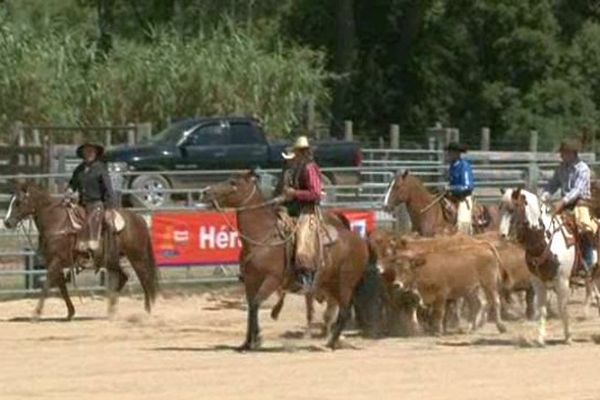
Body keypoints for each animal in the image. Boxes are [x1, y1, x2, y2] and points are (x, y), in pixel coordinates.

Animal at [3, 181, 158, 318]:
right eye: (10, 200)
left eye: (18, 202)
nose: (6, 222)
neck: (56, 222)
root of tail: (139, 219)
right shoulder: (55, 262)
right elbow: (62, 287)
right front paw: (70, 312)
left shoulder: (56, 261)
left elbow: (47, 284)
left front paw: (36, 314)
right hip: (112, 260)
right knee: (125, 277)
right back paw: (112, 308)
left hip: (137, 257)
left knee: (145, 278)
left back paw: (147, 310)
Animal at [204, 172, 376, 350]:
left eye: (233, 182)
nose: (205, 192)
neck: (262, 238)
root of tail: (361, 240)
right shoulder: (251, 280)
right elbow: (251, 306)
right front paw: (247, 342)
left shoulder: (272, 279)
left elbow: (256, 303)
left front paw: (257, 339)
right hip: (332, 283)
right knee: (336, 309)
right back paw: (331, 338)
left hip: (345, 283)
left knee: (344, 311)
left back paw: (331, 342)